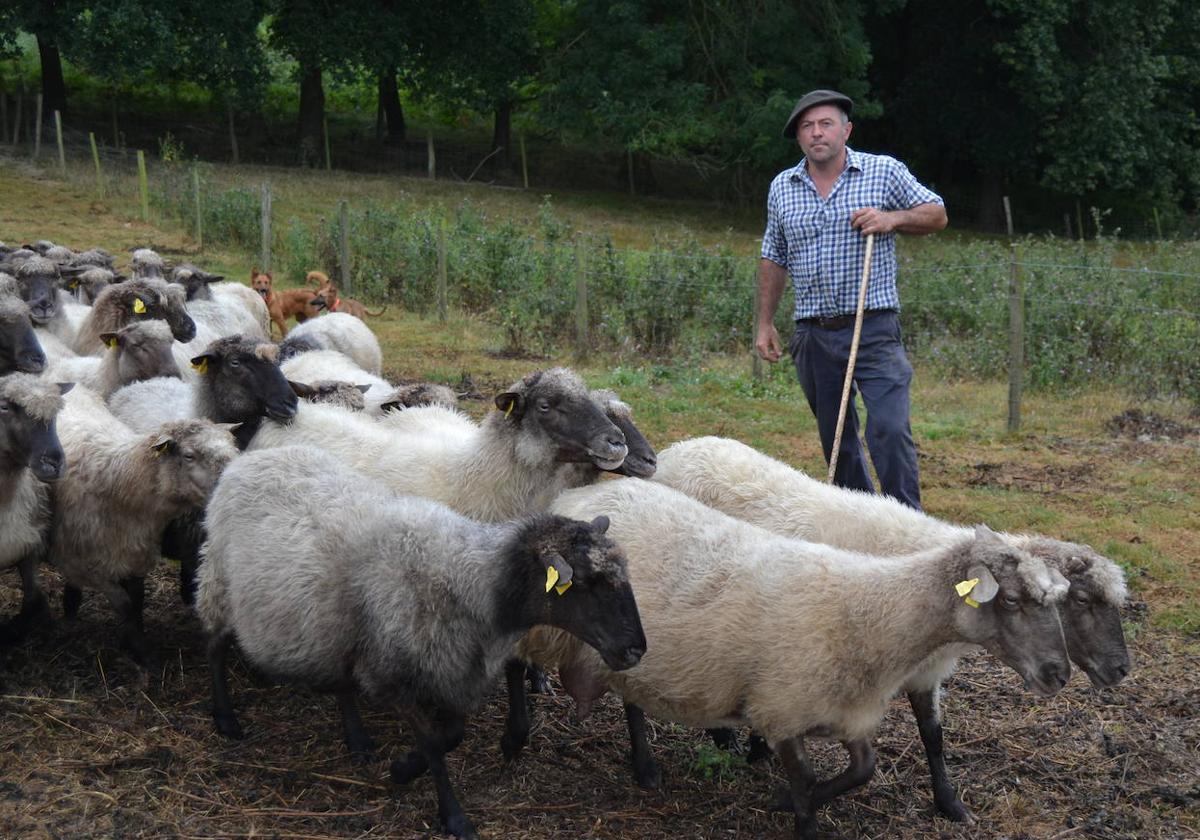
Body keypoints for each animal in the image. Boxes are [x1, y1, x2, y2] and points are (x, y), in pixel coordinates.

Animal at [49, 386, 238, 662]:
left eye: (233, 449)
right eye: (189, 456)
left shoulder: (135, 551)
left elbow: (137, 599)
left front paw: (133, 639)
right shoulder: (84, 566)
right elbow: (125, 604)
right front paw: (140, 649)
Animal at [196, 444, 648, 835]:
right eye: (587, 582)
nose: (635, 650)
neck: (473, 580)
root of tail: (251, 458)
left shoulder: (448, 668)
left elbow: (453, 734)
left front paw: (404, 767)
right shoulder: (395, 672)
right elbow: (435, 742)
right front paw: (448, 812)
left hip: (337, 622)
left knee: (340, 674)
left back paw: (357, 739)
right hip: (220, 582)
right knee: (214, 647)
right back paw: (226, 718)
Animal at [516, 475, 1070, 835]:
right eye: (1012, 601)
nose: (1059, 674)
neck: (871, 610)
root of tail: (579, 494)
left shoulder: (844, 714)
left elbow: (862, 770)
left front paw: (783, 798)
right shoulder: (780, 709)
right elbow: (806, 782)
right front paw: (798, 813)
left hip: (628, 649)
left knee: (631, 692)